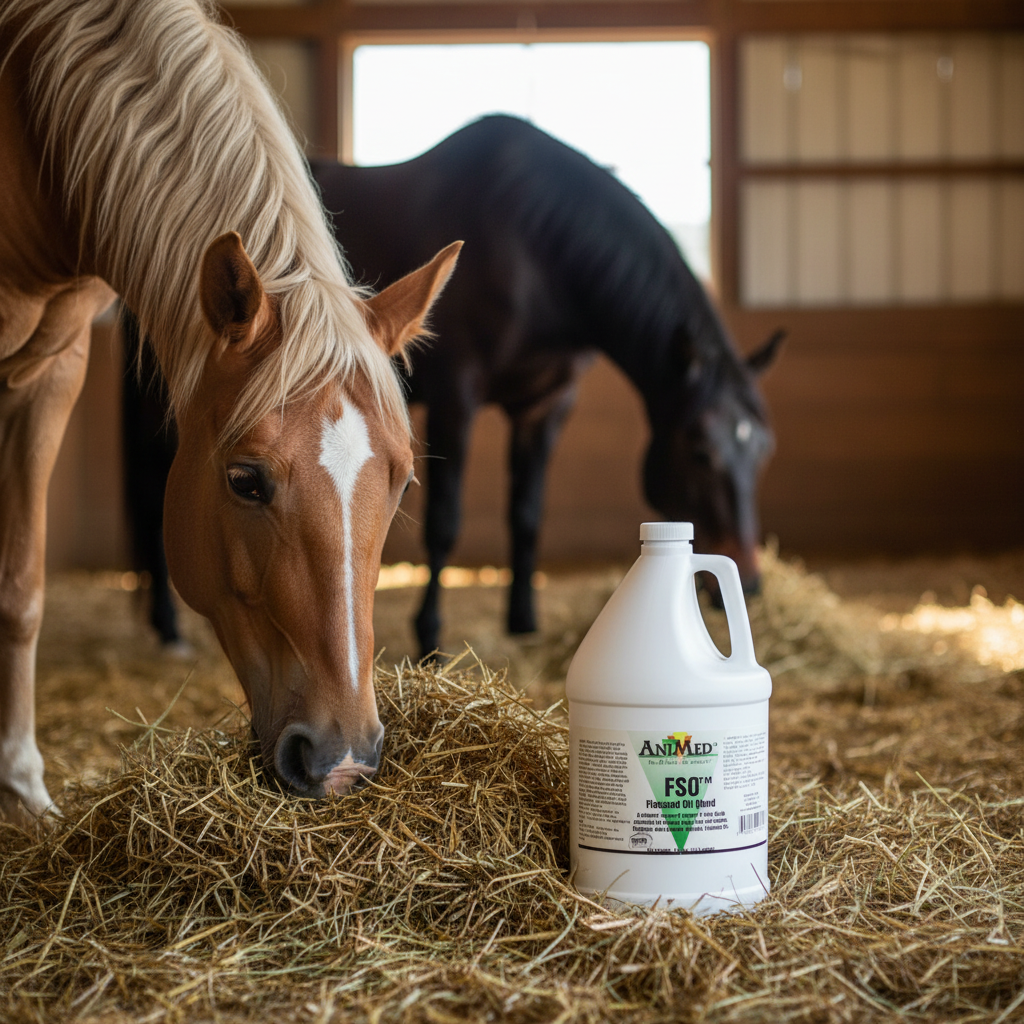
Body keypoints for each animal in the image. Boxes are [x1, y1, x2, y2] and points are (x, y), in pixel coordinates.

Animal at [0, 0, 459, 824]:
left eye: (402, 482)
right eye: (246, 481)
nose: (343, 761)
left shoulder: (53, 371)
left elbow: (20, 590)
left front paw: (22, 793)